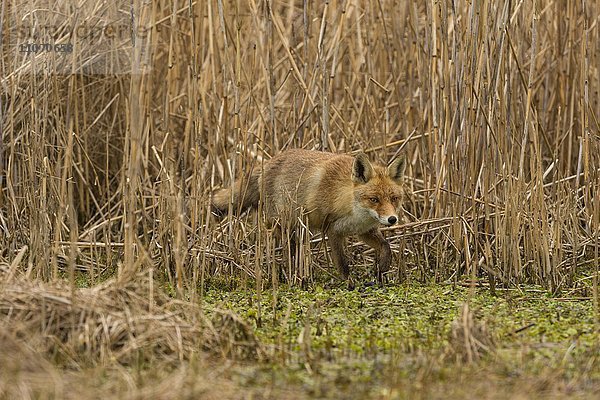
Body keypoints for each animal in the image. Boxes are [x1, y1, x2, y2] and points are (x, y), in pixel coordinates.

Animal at [212, 148, 408, 282]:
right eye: (374, 199)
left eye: (394, 198)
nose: (392, 219)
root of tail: (267, 163)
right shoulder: (333, 230)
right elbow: (342, 263)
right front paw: (349, 283)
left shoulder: (364, 231)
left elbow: (386, 247)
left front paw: (382, 270)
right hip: (284, 225)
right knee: (288, 251)